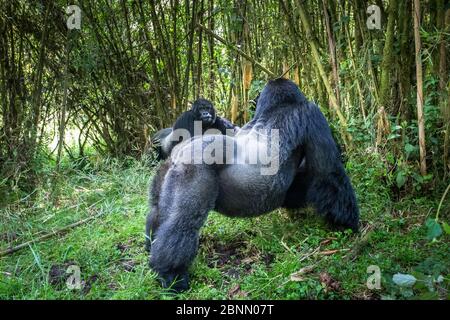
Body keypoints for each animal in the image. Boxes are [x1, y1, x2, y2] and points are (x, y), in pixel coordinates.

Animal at [145, 78, 358, 292]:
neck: (274, 108)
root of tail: (179, 153)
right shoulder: (311, 113)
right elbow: (328, 172)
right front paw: (348, 225)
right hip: (193, 168)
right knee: (183, 222)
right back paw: (171, 274)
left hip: (165, 171)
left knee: (158, 211)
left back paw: (151, 247)